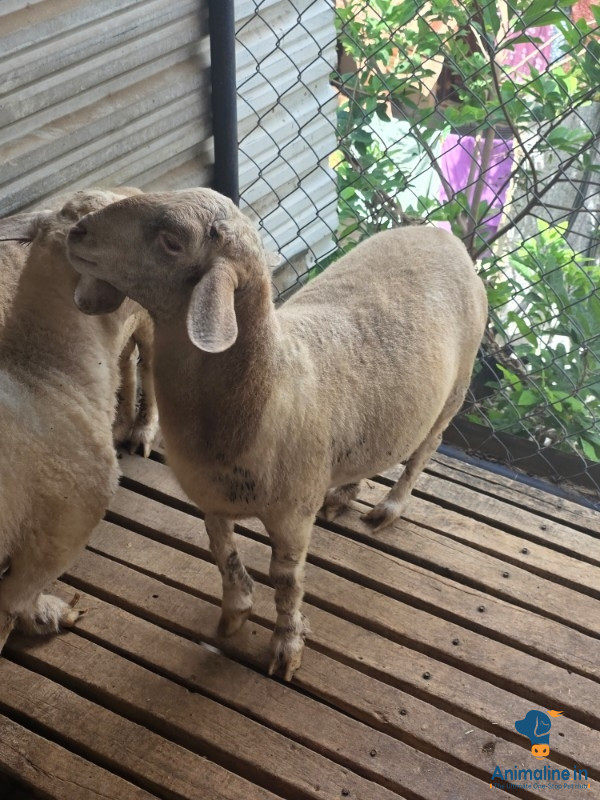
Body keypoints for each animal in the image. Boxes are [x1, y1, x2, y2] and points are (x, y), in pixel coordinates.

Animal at [66, 188, 488, 680]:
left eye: (172, 241)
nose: (76, 232)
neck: (267, 384)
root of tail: (443, 236)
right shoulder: (211, 498)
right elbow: (222, 552)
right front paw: (235, 612)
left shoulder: (292, 515)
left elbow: (286, 580)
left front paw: (287, 645)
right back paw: (343, 495)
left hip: (456, 390)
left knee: (423, 451)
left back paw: (389, 508)